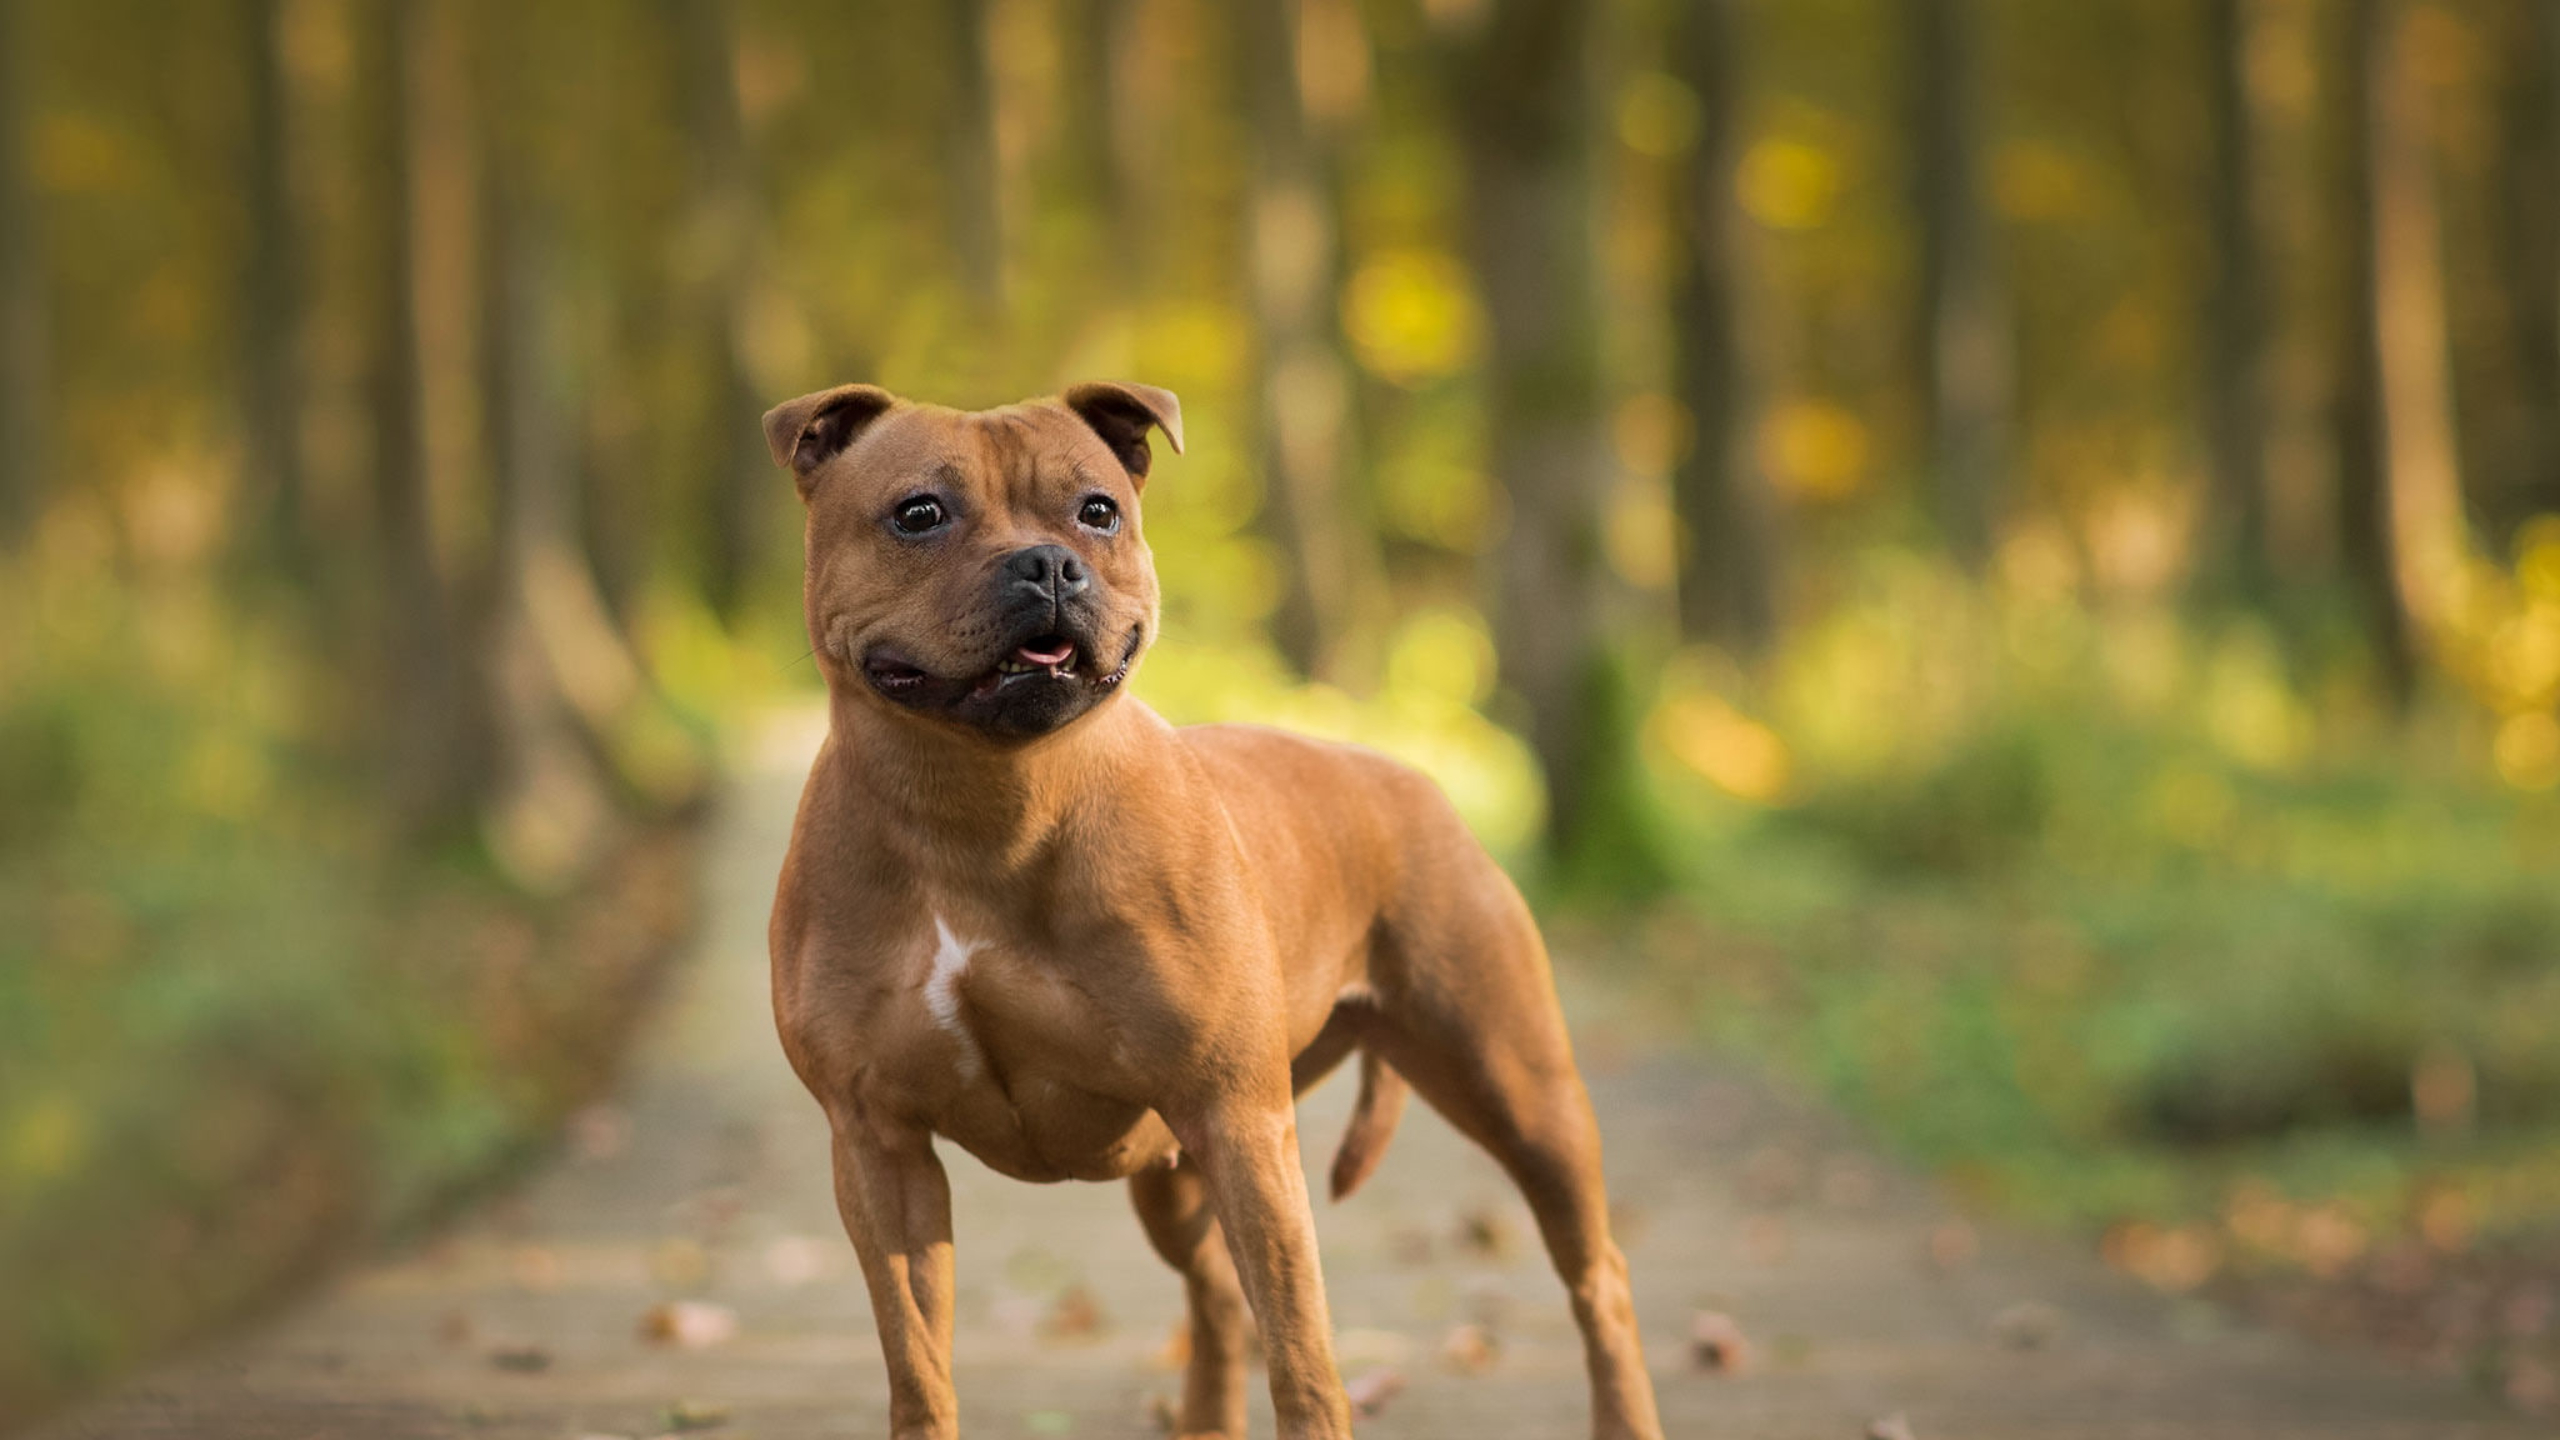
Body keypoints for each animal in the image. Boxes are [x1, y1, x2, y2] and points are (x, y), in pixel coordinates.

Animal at [762, 381, 1658, 1434]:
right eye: (918, 514)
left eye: (1097, 510)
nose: (1048, 563)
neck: (984, 806)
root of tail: (1402, 776)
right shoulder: (878, 1147)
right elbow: (918, 1370)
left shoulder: (1241, 1123)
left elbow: (1304, 1356)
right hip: (1175, 1179)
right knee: (1220, 1300)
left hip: (1520, 1093)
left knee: (1599, 1279)